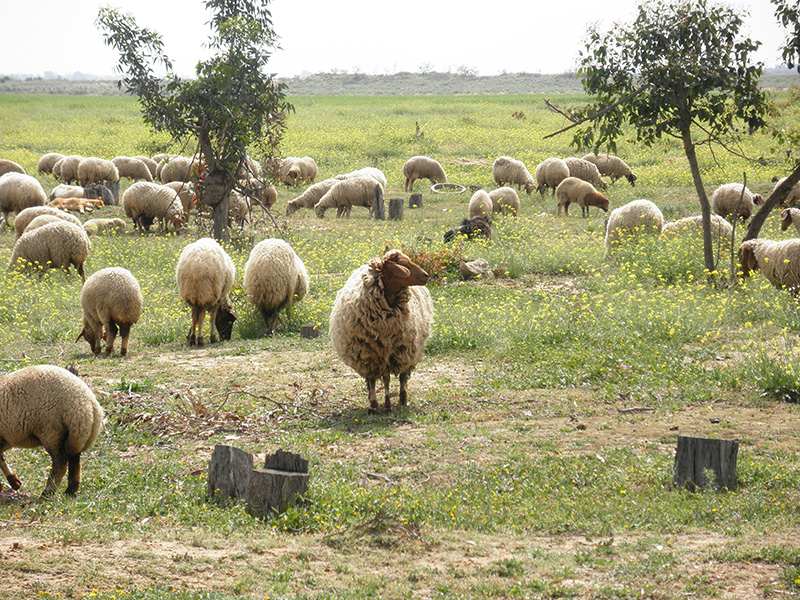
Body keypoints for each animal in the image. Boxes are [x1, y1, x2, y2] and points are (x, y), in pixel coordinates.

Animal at [0, 364, 103, 494]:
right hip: (78, 435)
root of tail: (87, 404)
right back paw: (70, 490)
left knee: (60, 463)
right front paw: (14, 482)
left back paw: (47, 492)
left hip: (52, 432)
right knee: (75, 459)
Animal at [328, 248, 434, 412]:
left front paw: (388, 405)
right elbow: (374, 380)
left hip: (408, 350)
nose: (426, 275)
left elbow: (387, 379)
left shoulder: (391, 352)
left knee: (403, 377)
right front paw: (373, 405)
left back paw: (403, 399)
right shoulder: (369, 355)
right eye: (403, 264)